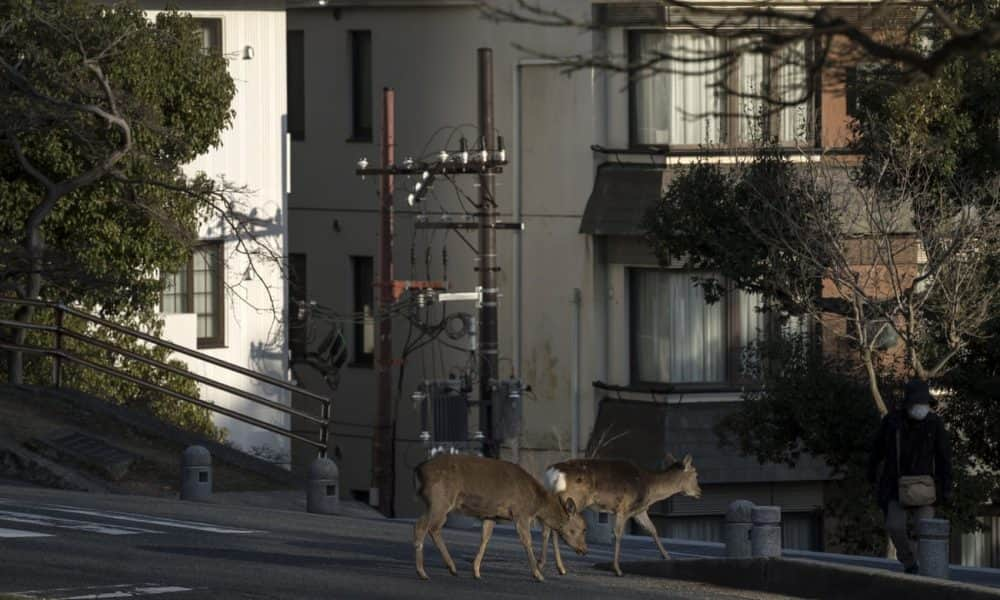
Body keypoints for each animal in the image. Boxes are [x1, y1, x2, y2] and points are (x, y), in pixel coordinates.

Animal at [412, 454, 584, 580]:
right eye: (581, 528)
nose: (584, 549)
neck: (536, 503)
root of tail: (419, 470)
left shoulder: (491, 515)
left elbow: (485, 538)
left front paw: (476, 571)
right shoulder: (521, 513)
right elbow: (526, 541)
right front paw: (538, 575)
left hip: (432, 503)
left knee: (423, 526)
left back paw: (444, 569)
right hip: (440, 500)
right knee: (428, 527)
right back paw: (428, 571)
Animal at [540, 454, 704, 576]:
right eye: (696, 474)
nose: (699, 492)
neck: (650, 490)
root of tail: (552, 474)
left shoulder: (639, 511)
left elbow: (653, 530)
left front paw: (668, 558)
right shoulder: (624, 507)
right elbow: (618, 535)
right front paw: (618, 569)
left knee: (547, 528)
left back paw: (546, 565)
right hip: (575, 499)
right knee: (556, 528)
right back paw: (559, 567)